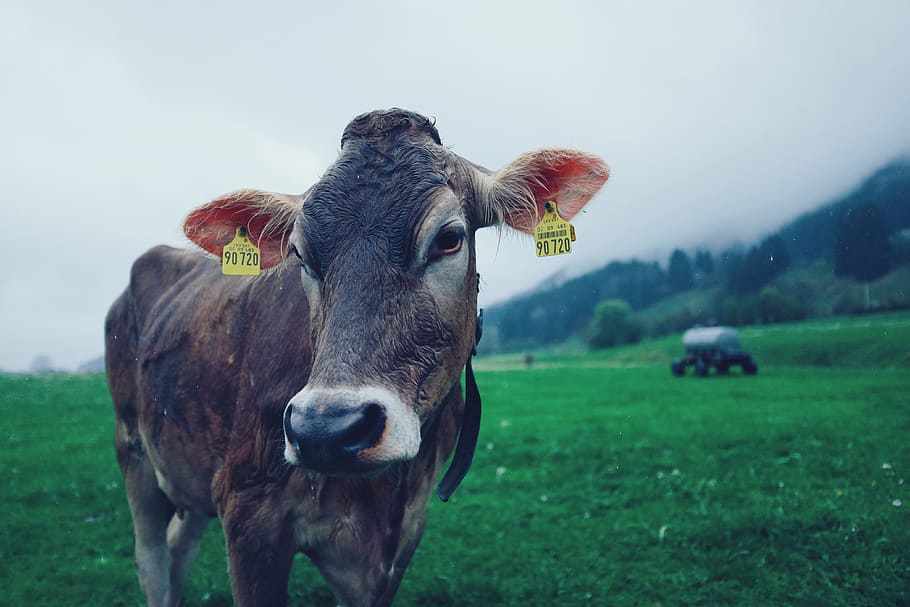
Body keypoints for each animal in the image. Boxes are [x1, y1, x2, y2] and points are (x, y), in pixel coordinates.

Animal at [105, 108, 608, 607]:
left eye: (449, 238)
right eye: (298, 252)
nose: (325, 430)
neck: (383, 494)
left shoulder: (401, 538)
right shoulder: (246, 509)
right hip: (133, 450)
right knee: (152, 561)